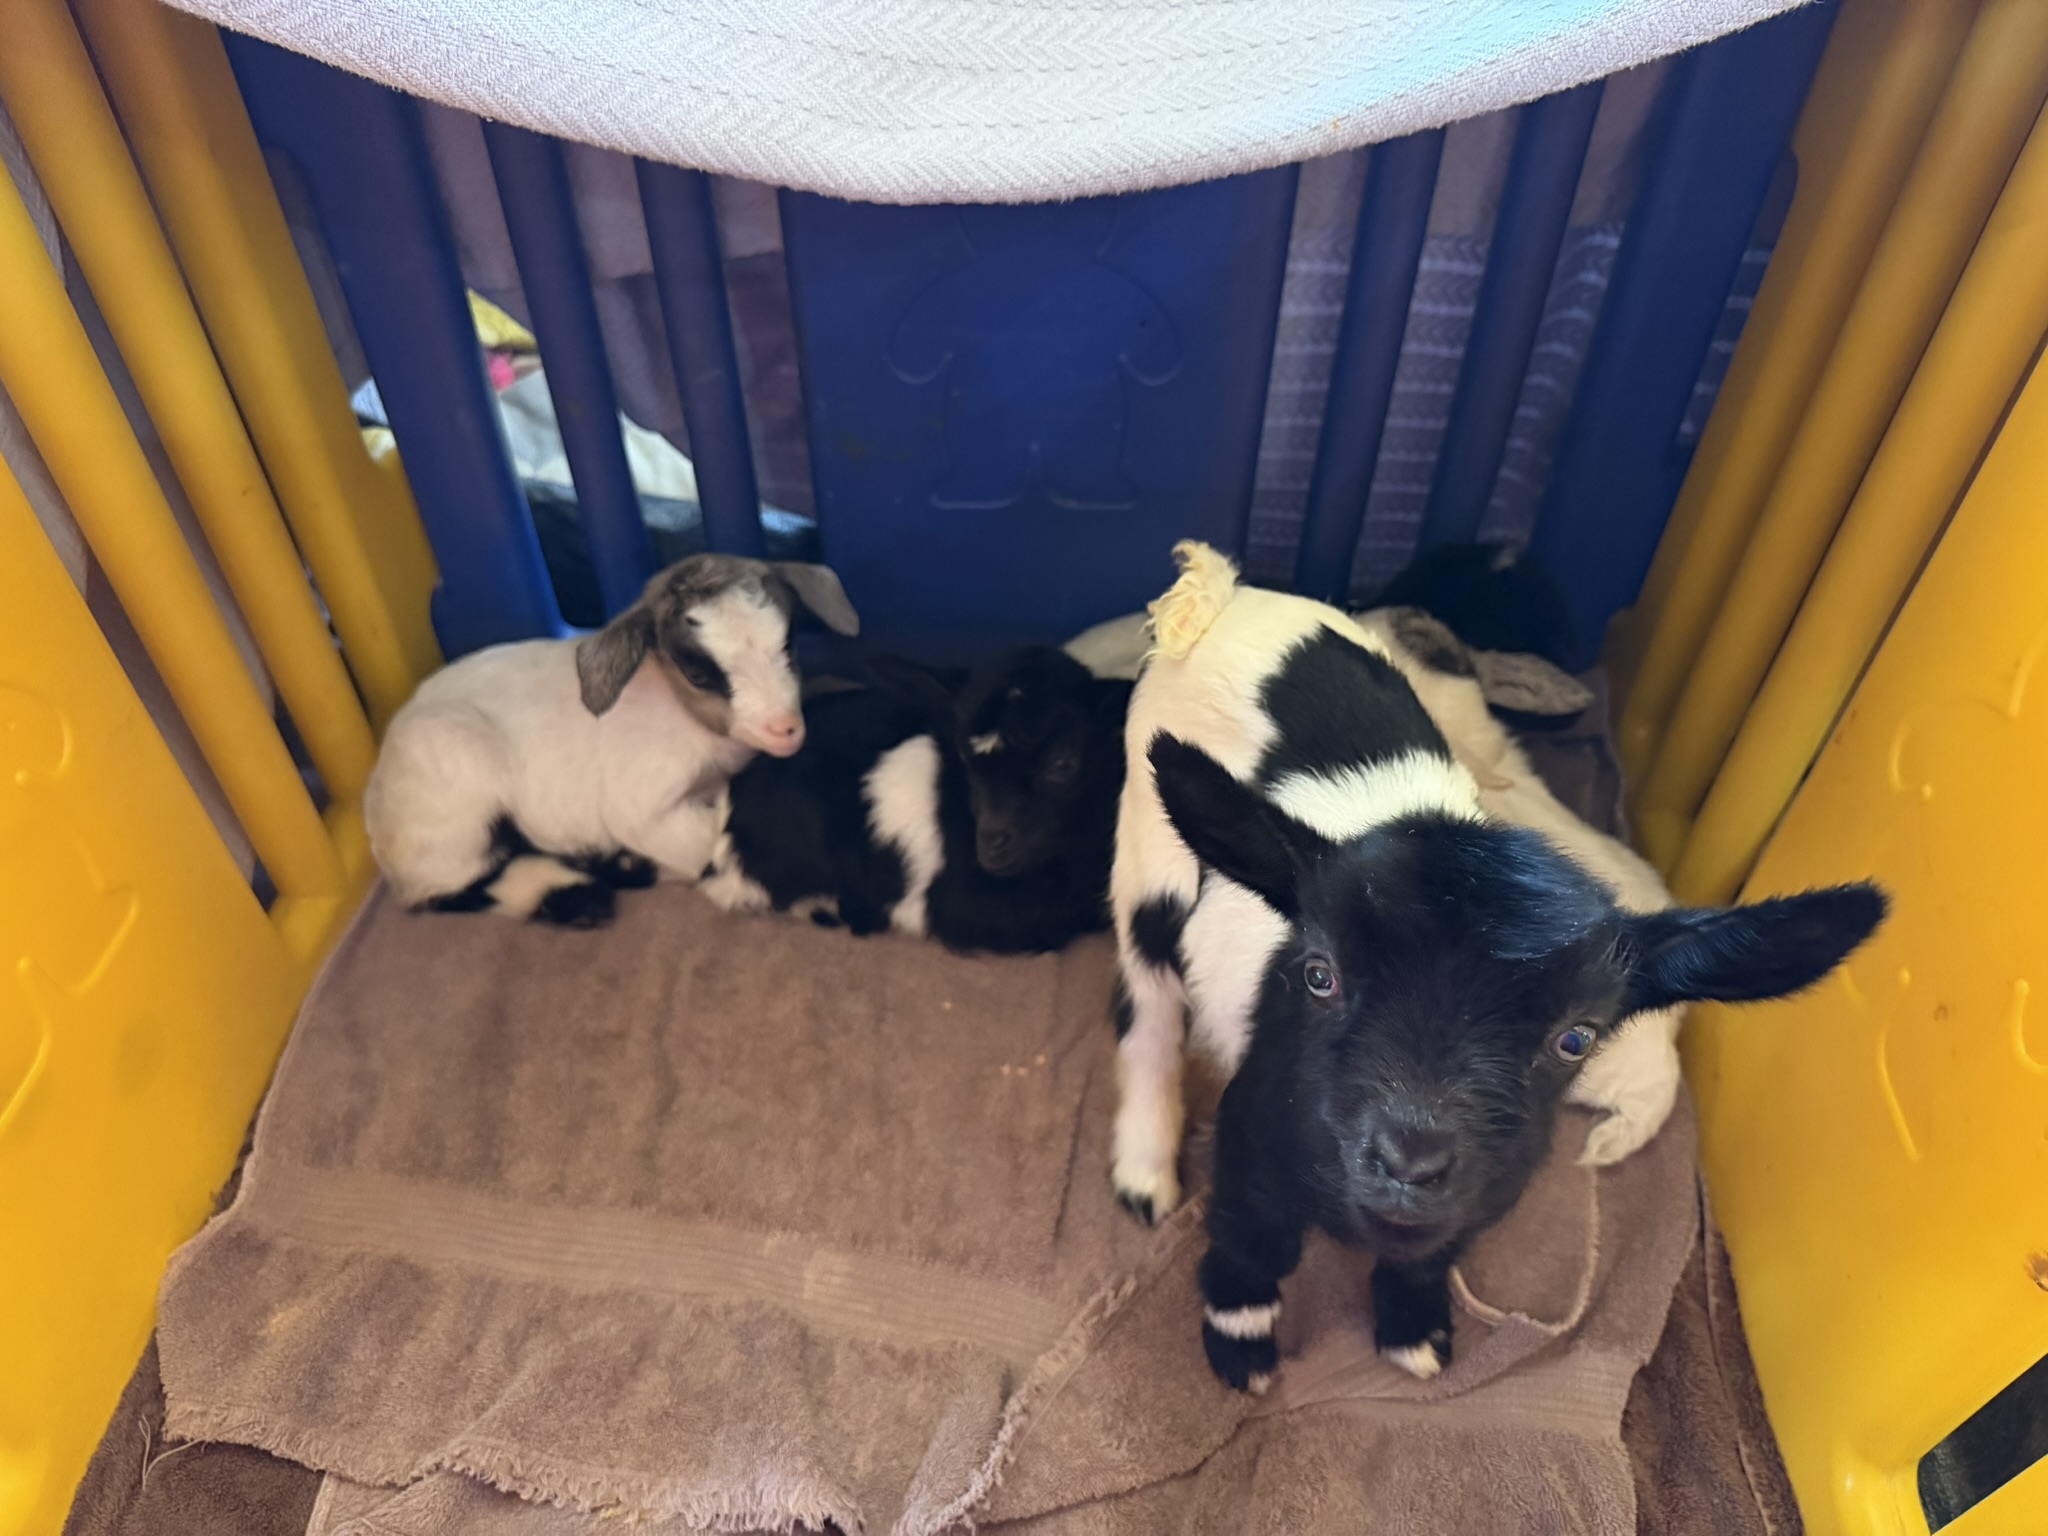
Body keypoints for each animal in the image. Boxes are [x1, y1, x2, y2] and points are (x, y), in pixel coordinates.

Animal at [364, 554, 859, 927]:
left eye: (789, 643)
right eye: (698, 673)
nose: (785, 728)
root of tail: (374, 793)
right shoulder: (643, 804)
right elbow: (705, 844)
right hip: (453, 788)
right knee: (452, 887)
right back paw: (579, 894)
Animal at [1110, 542, 1886, 1392]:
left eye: (1576, 1038)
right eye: (1320, 974)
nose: (1409, 1161)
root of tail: (1227, 598)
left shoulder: (1485, 1189)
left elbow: (1427, 1257)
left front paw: (1415, 1331)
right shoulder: (1254, 1134)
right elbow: (1253, 1239)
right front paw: (1240, 1347)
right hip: (1148, 853)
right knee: (1146, 1006)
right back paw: (1145, 1169)